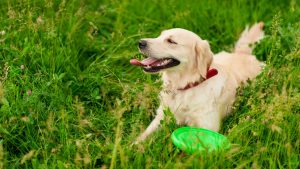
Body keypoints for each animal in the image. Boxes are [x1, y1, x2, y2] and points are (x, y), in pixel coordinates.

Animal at [130, 21, 264, 142]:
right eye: (159, 36)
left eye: (171, 41)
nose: (140, 42)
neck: (186, 86)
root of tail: (243, 53)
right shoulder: (161, 116)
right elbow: (144, 135)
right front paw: (133, 146)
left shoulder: (207, 126)